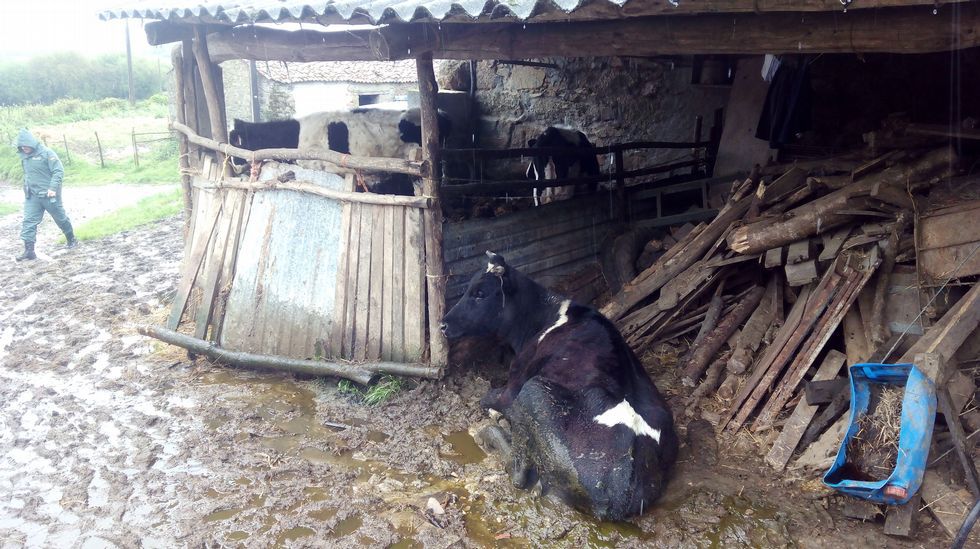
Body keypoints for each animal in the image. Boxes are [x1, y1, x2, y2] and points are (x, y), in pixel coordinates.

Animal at [440, 251, 677, 521]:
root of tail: (622, 482)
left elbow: (486, 398)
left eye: (480, 293)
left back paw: (489, 433)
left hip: (533, 391)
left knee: (519, 474)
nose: (443, 324)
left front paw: (493, 413)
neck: (544, 316)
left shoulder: (511, 389)